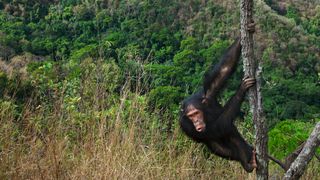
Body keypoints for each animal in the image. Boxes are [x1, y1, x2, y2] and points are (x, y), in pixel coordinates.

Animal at [180, 27, 258, 172]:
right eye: (191, 116)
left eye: (196, 113)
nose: (196, 121)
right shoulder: (184, 124)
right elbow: (216, 128)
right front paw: (241, 89)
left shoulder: (209, 93)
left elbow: (225, 69)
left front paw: (244, 32)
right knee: (215, 142)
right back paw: (246, 162)